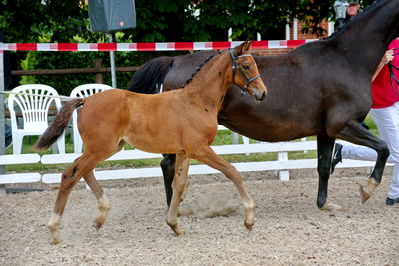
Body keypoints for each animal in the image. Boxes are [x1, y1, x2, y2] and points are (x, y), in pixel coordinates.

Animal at [36, 40, 268, 244]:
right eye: (246, 66)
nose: (262, 93)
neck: (197, 100)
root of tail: (86, 100)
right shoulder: (200, 149)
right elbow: (232, 171)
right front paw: (249, 219)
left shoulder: (184, 152)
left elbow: (179, 184)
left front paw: (174, 225)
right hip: (100, 149)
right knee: (70, 175)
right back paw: (55, 230)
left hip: (104, 149)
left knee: (83, 171)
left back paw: (100, 217)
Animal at [128, 0, 399, 211]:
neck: (345, 58)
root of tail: (173, 61)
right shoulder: (342, 125)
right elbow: (383, 148)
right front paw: (368, 189)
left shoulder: (326, 131)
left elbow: (323, 166)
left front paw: (324, 204)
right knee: (168, 165)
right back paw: (174, 207)